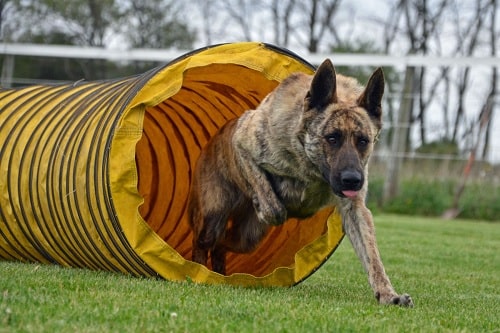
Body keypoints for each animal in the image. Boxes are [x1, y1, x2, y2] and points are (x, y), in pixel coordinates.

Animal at [188, 59, 414, 306]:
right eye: (332, 138)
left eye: (363, 141)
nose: (353, 180)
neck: (311, 167)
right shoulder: (243, 143)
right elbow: (272, 203)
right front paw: (266, 204)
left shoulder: (355, 210)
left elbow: (372, 256)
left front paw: (388, 293)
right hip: (214, 218)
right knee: (203, 243)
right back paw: (197, 270)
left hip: (247, 238)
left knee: (221, 245)